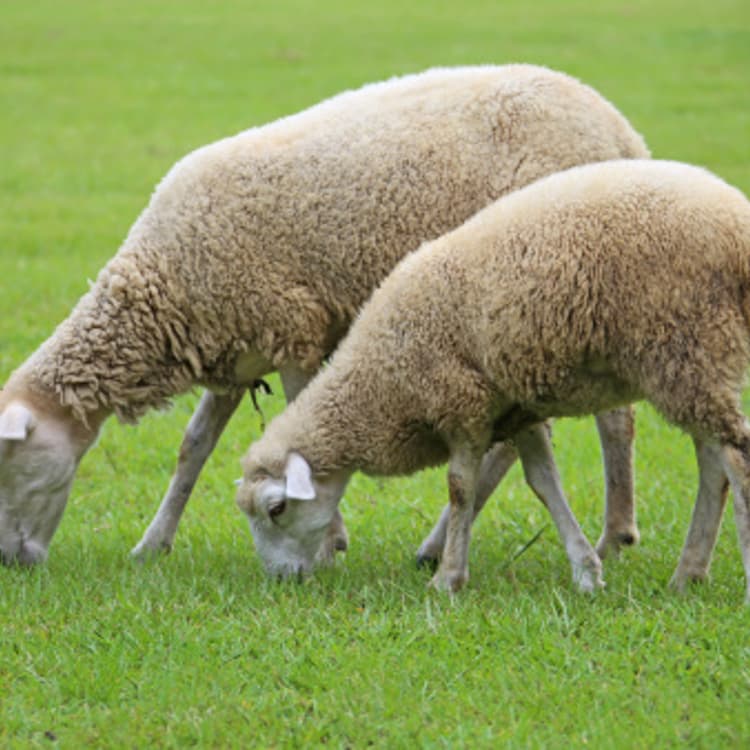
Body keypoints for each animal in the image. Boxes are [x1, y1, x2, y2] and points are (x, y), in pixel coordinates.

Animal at [0, 64, 649, 567]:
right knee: (590, 422)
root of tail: (623, 132)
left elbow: (292, 422)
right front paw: (152, 544)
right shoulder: (235, 349)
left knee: (568, 430)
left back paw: (581, 538)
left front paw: (331, 540)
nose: (11, 563)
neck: (162, 287)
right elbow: (193, 448)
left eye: (7, 467)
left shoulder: (293, 330)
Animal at [236, 159, 750, 602]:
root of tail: (737, 225)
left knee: (734, 456)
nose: (280, 581)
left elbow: (460, 488)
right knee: (712, 462)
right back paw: (687, 575)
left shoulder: (461, 404)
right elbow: (544, 483)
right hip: (697, 363)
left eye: (276, 509)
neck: (379, 380)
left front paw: (448, 578)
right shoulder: (516, 409)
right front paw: (586, 571)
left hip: (684, 347)